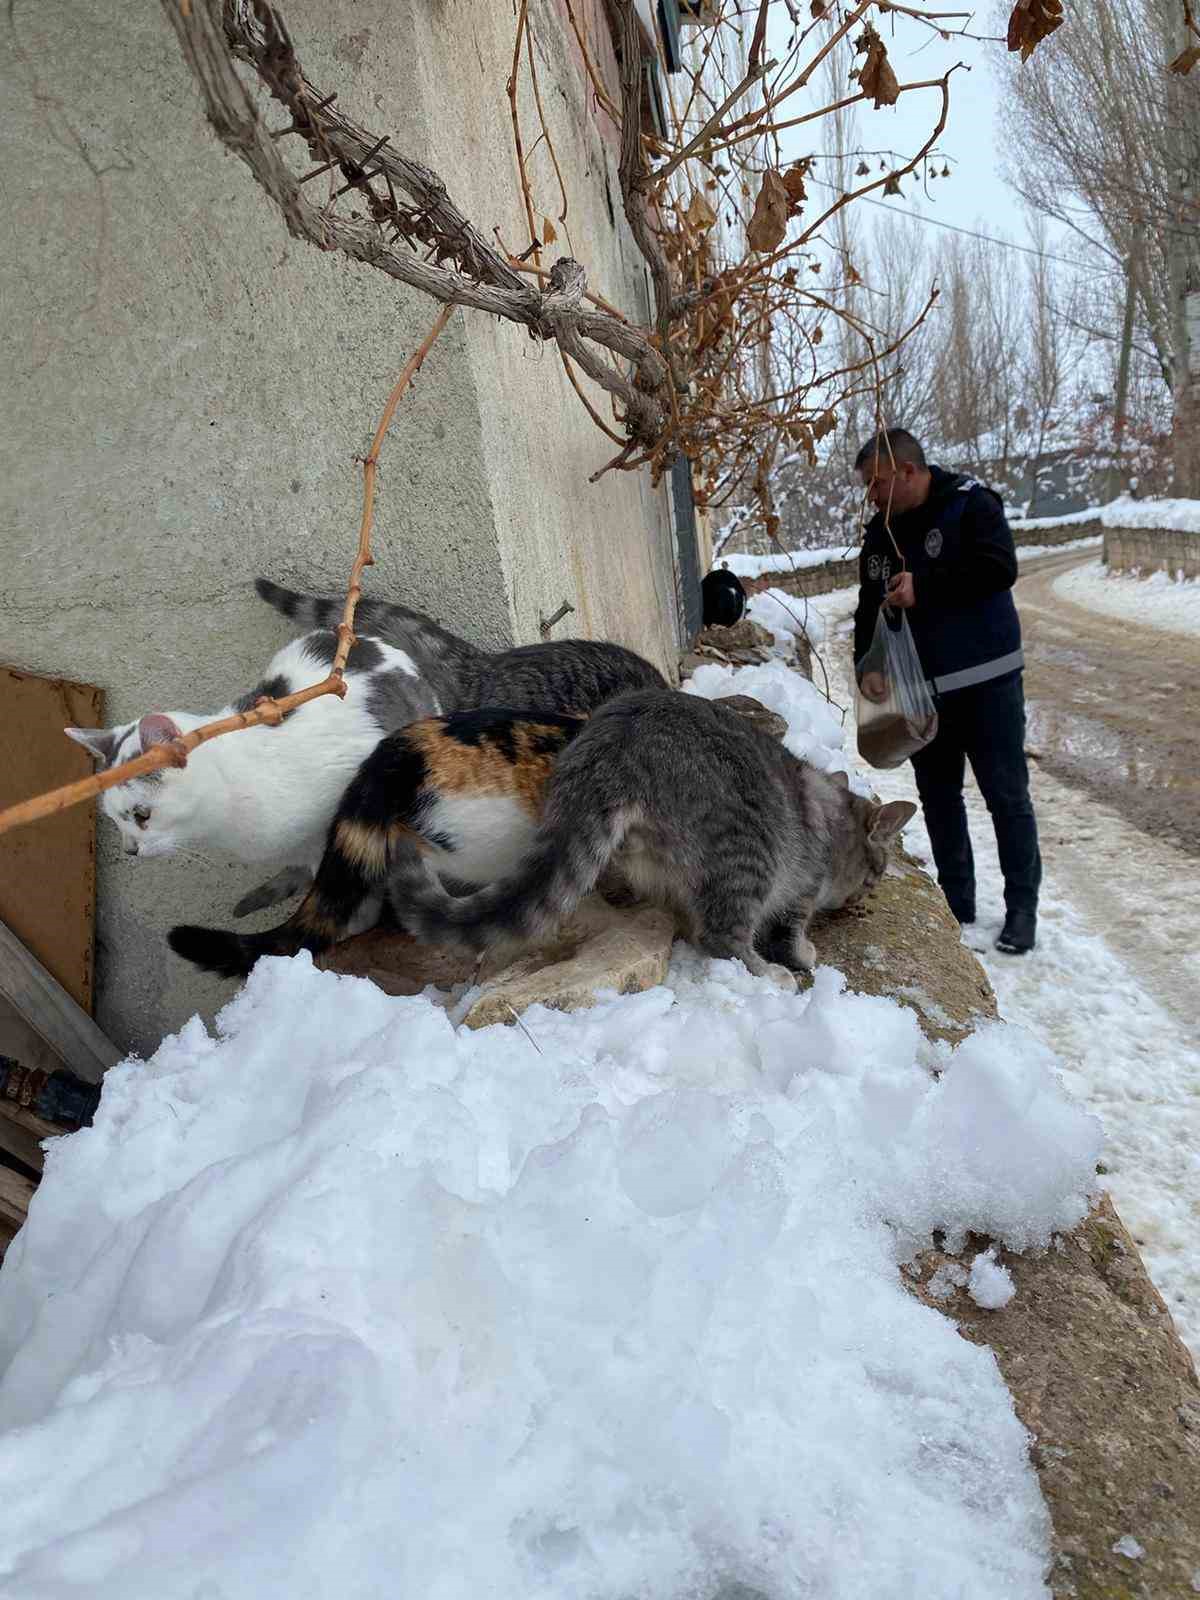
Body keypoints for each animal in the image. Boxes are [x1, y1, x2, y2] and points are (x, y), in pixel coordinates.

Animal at [396, 691, 921, 985]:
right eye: (876, 874)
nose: (862, 898)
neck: (835, 815)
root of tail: (617, 746)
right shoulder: (800, 888)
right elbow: (788, 934)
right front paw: (801, 954)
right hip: (751, 850)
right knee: (722, 934)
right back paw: (765, 974)